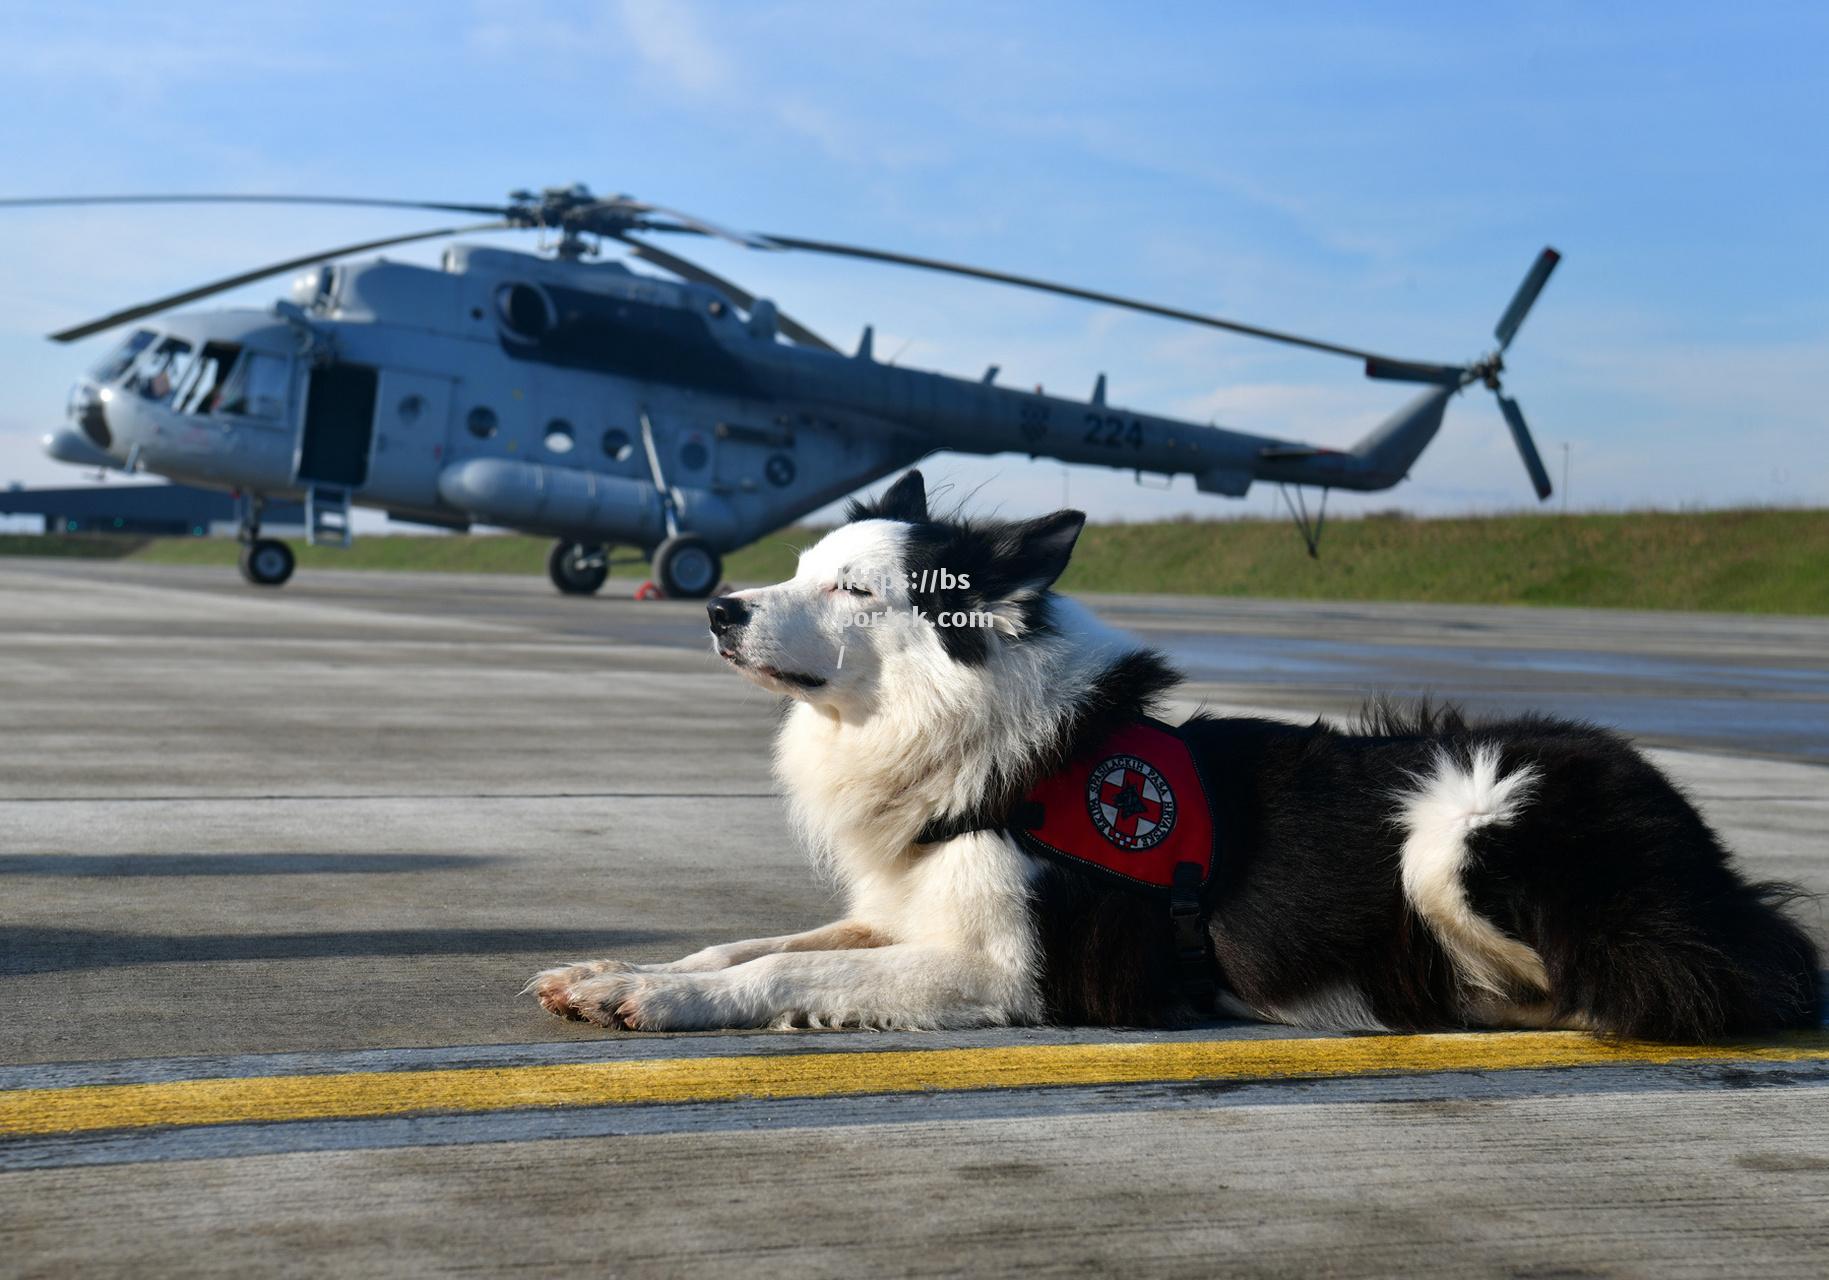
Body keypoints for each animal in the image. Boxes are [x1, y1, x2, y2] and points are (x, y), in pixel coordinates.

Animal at [530, 471, 1814, 1038]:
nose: (717, 608)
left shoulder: (1016, 971)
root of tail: (1710, 857)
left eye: (851, 589)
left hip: (1458, 817)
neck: (961, 722)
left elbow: (784, 974)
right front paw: (615, 970)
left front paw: (667, 997)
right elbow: (753, 943)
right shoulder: (898, 908)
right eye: (798, 569)